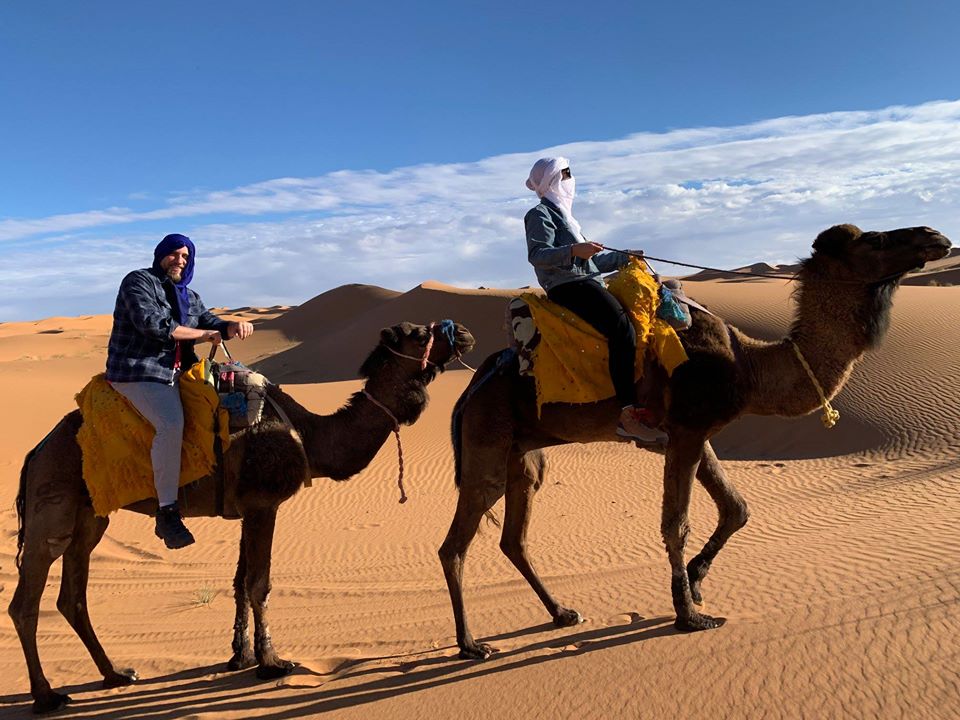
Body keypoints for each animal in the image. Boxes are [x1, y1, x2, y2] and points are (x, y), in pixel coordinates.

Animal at [10, 320, 475, 714]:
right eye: (420, 333)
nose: (466, 334)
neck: (308, 437)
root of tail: (36, 451)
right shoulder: (262, 504)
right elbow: (259, 583)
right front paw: (271, 661)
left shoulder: (244, 509)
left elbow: (239, 581)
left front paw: (240, 654)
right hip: (52, 508)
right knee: (25, 601)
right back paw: (47, 696)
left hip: (90, 517)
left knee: (72, 596)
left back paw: (115, 674)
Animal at [440, 224, 951, 660]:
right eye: (875, 239)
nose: (934, 235)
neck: (747, 367)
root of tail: (473, 386)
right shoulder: (687, 430)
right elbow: (677, 525)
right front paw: (689, 616)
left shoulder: (692, 434)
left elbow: (736, 508)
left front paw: (697, 581)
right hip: (487, 440)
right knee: (456, 544)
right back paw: (471, 645)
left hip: (523, 455)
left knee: (514, 538)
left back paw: (562, 613)